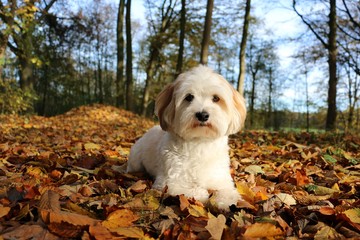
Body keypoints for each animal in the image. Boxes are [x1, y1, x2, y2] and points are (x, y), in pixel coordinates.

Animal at [125, 64, 246, 209]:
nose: (202, 115)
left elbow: (227, 191)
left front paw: (224, 200)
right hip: (135, 161)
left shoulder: (221, 178)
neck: (200, 143)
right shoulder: (170, 181)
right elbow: (194, 190)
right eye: (189, 97)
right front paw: (204, 194)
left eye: (216, 98)